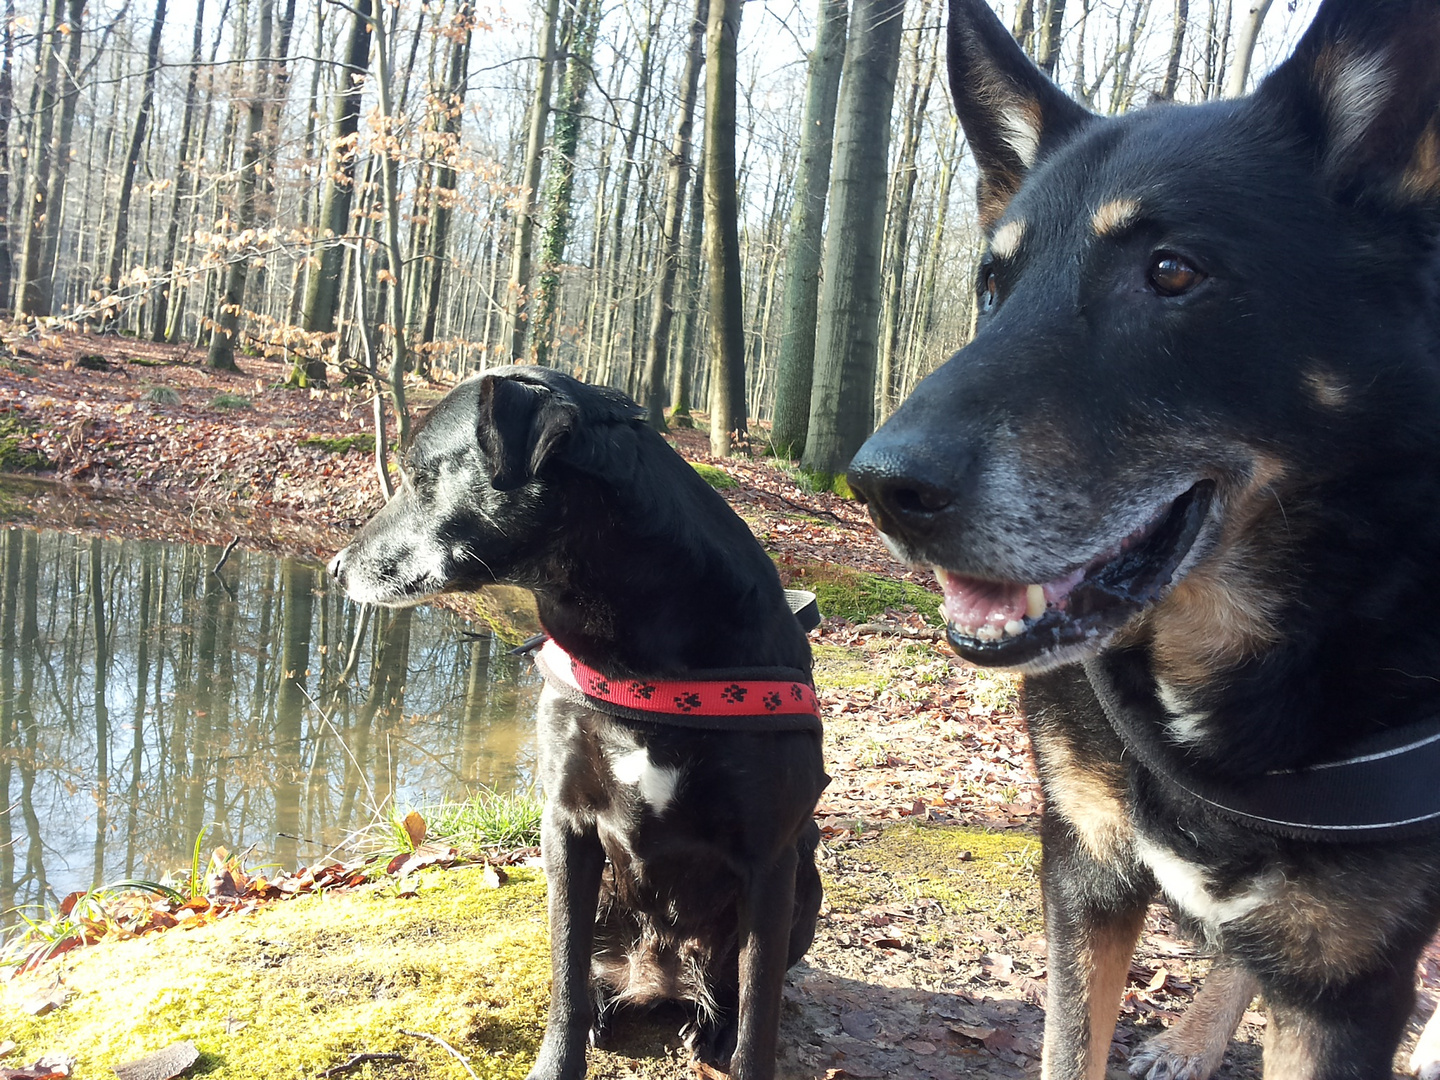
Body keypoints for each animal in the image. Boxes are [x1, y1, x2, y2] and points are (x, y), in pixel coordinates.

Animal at [325, 365, 823, 1080]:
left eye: (419, 478)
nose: (335, 569)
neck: (639, 643)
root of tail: (660, 982)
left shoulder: (770, 857)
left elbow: (761, 1013)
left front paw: (744, 1043)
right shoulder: (567, 828)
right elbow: (565, 971)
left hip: (806, 877)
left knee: (735, 989)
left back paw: (712, 1028)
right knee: (593, 976)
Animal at [840, 0, 1440, 1077]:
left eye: (1172, 271)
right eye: (993, 284)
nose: (881, 488)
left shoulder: (1347, 988)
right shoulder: (1084, 871)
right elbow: (1071, 1043)